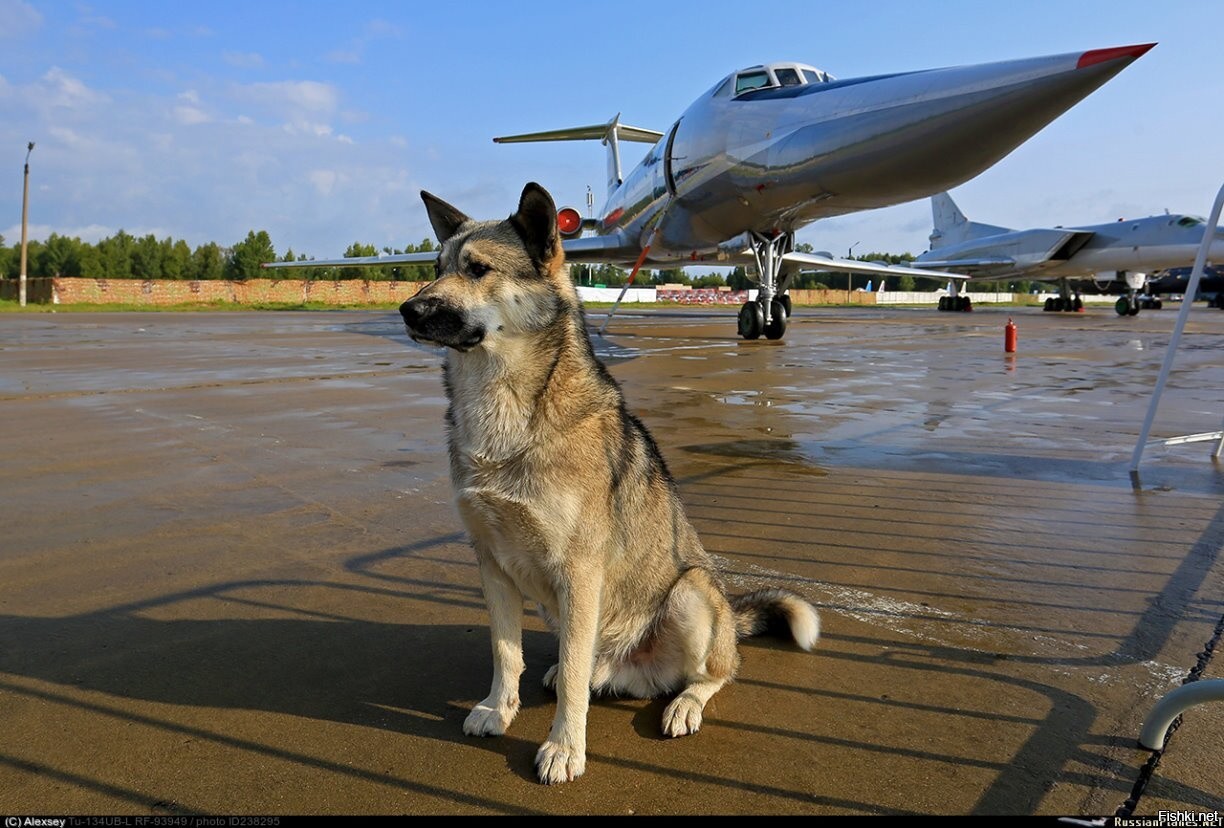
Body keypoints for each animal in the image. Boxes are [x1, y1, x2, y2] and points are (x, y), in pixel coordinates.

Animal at [401, 181, 822, 783]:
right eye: (436, 268)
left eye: (478, 269)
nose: (407, 309)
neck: (506, 412)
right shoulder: (491, 563)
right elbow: (507, 653)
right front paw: (498, 709)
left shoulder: (579, 571)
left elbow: (575, 677)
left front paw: (564, 749)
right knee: (587, 666)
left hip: (691, 593)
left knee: (714, 671)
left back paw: (684, 704)